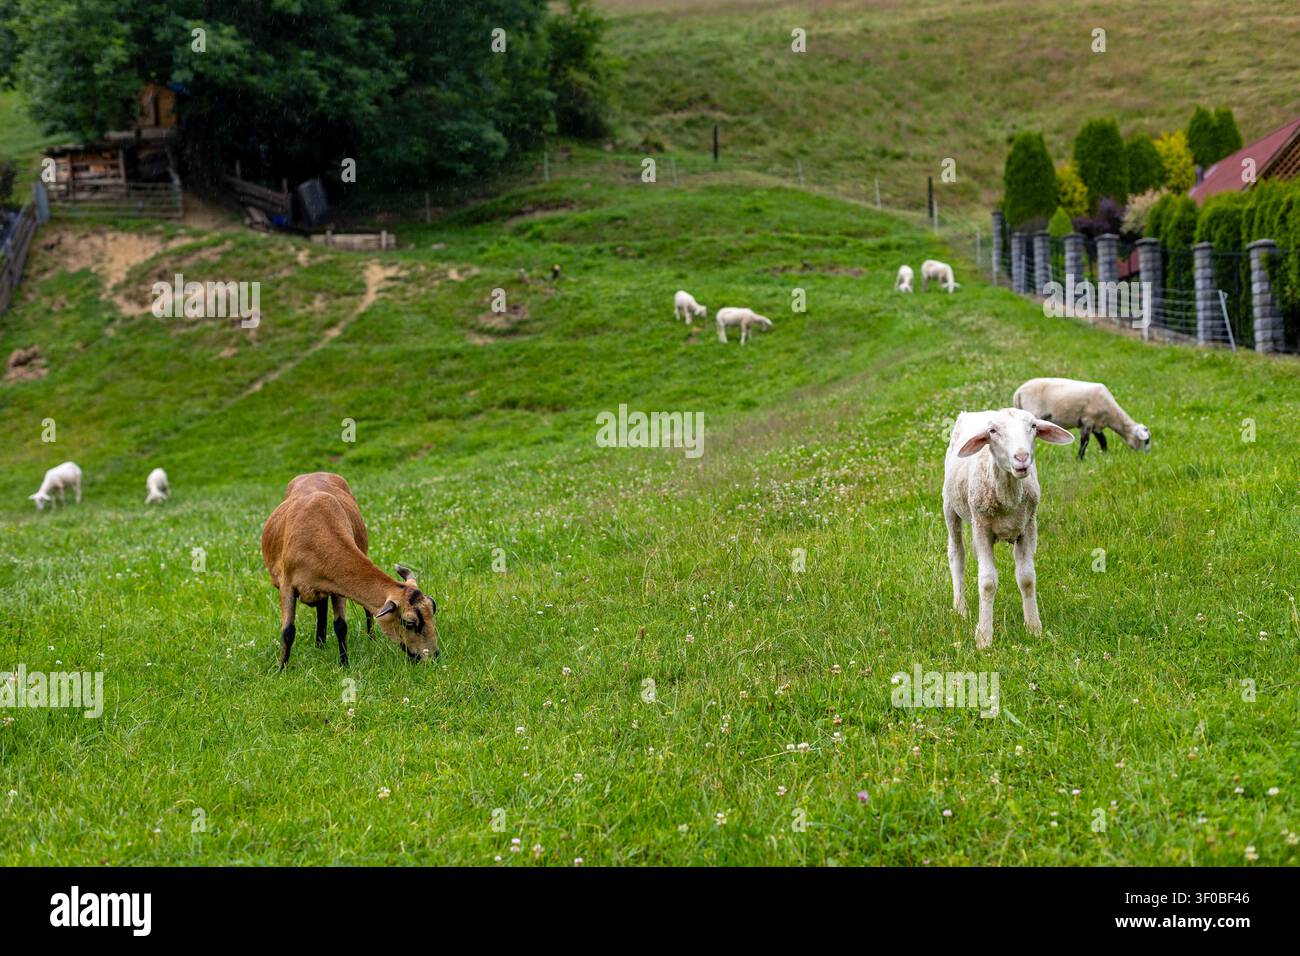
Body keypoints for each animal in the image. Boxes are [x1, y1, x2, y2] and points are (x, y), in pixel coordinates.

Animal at [261, 472, 437, 668]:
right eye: (409, 623)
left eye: (433, 609)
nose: (434, 656)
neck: (317, 532)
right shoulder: (287, 584)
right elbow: (288, 631)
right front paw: (281, 668)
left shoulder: (336, 584)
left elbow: (340, 626)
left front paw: (344, 664)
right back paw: (320, 644)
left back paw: (366, 639)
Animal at [943, 408, 1073, 648]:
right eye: (992, 431)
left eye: (1033, 426)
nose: (1022, 458)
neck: (1008, 495)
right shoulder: (981, 528)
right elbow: (987, 582)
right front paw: (984, 638)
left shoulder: (1027, 527)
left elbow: (1027, 578)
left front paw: (1033, 628)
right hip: (949, 505)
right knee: (957, 554)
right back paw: (961, 609)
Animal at [1013, 377, 1151, 460]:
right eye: (1146, 441)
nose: (1146, 456)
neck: (1111, 415)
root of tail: (1018, 392)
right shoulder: (1087, 420)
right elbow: (1085, 441)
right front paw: (1080, 458)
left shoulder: (1096, 424)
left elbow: (1102, 440)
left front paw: (1105, 454)